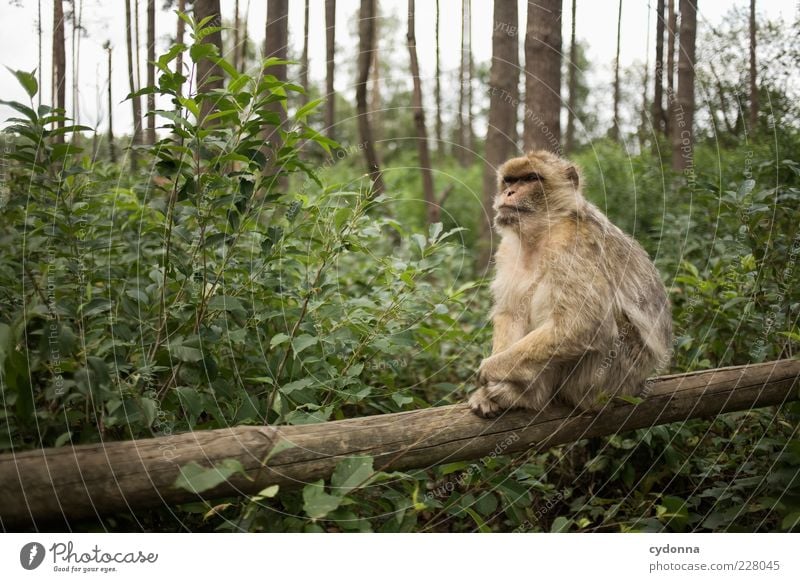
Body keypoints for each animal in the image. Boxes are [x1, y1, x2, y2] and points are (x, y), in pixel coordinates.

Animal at [466, 151, 672, 420]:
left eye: (530, 178)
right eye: (510, 181)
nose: (508, 193)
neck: (541, 234)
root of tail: (639, 384)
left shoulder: (570, 244)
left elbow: (584, 323)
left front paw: (490, 369)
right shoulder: (508, 249)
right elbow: (510, 312)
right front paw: (486, 388)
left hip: (608, 379)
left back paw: (527, 396)